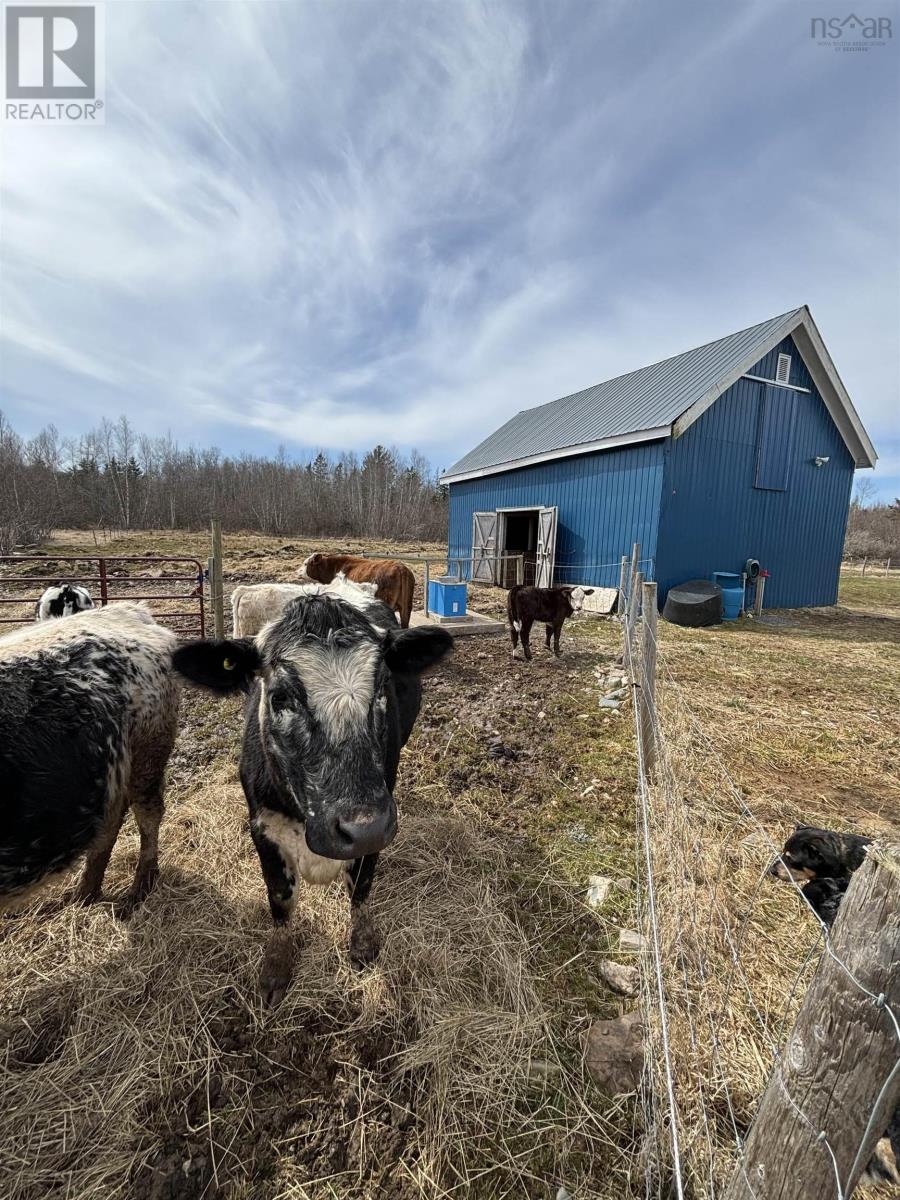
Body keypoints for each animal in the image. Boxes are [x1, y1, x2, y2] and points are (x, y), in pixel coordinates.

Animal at [0, 604, 181, 912]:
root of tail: (129, 610)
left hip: (146, 756)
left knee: (147, 816)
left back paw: (137, 891)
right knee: (109, 824)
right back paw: (84, 895)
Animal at [172, 580, 453, 1003]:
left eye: (381, 689)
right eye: (280, 697)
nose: (364, 827)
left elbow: (361, 887)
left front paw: (362, 944)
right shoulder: (262, 826)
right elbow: (280, 898)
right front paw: (276, 967)